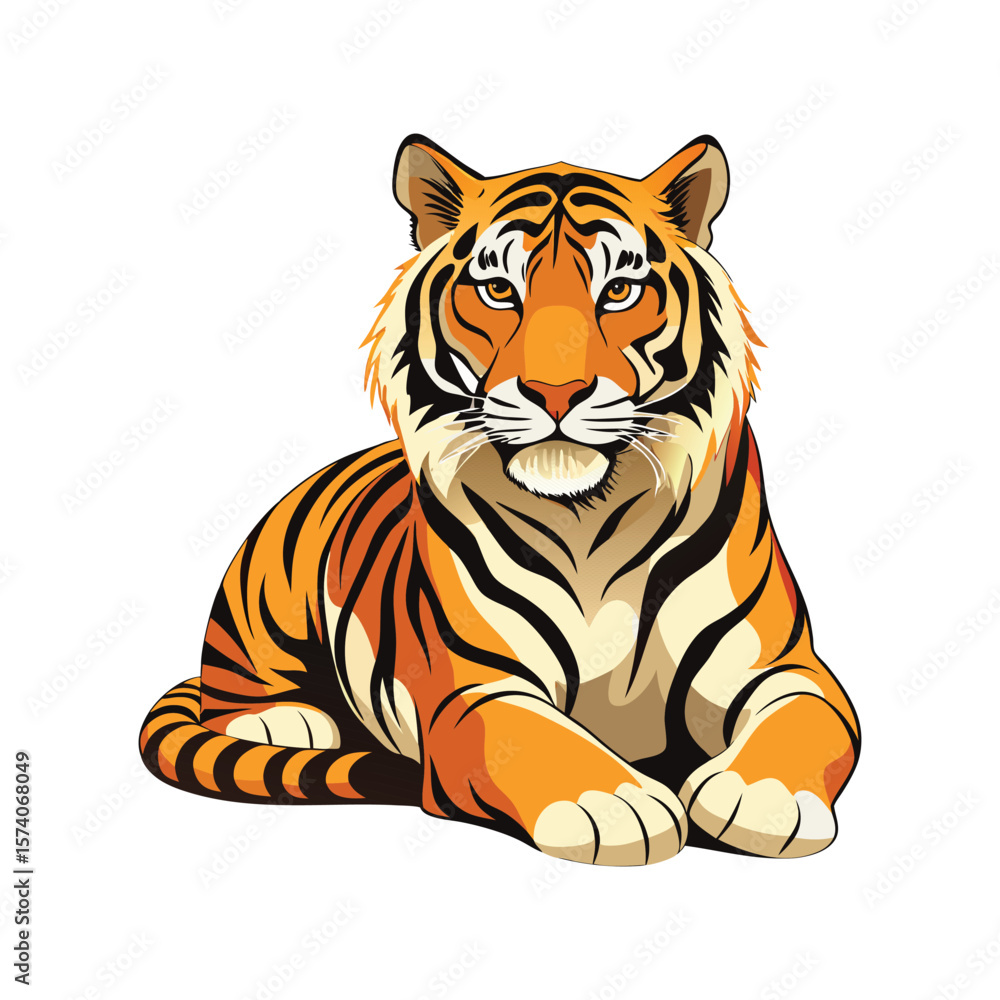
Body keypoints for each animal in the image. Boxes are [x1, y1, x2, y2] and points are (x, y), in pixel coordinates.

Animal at [139, 133, 860, 866]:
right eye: (498, 291)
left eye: (618, 291)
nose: (556, 392)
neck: (590, 517)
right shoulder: (479, 686)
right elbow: (542, 736)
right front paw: (612, 804)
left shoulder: (784, 668)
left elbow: (804, 721)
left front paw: (763, 798)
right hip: (261, 607)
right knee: (232, 694)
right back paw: (286, 721)